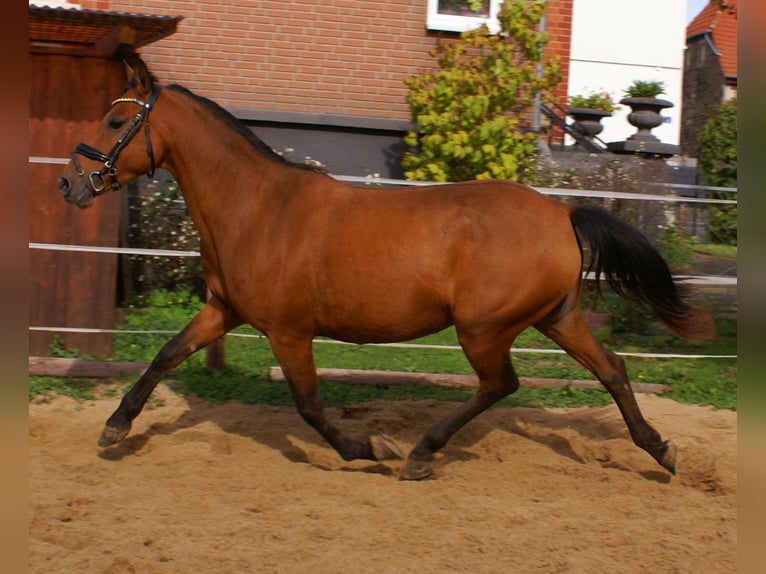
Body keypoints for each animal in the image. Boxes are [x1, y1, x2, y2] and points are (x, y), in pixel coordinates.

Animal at [58, 57, 712, 482]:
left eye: (114, 123)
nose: (70, 184)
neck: (258, 207)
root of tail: (560, 213)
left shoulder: (288, 331)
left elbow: (309, 405)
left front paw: (370, 447)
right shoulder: (225, 309)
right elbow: (166, 355)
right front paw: (115, 428)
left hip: (483, 328)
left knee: (502, 384)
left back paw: (420, 453)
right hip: (557, 316)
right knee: (612, 369)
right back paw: (661, 452)